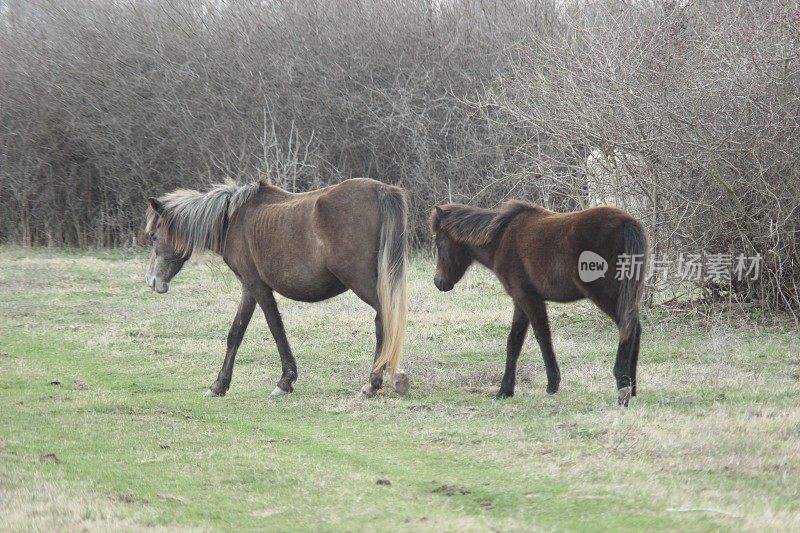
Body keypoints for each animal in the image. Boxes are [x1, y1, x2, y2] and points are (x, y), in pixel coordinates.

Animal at [144, 177, 410, 396]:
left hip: (362, 282)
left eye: (154, 236)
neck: (233, 221)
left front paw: (285, 381)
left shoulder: (258, 286)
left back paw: (374, 382)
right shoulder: (249, 288)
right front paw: (219, 384)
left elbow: (276, 328)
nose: (152, 281)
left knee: (384, 319)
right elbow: (235, 333)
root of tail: (380, 189)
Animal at [428, 200, 648, 404]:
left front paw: (551, 384)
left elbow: (542, 336)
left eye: (439, 243)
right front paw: (505, 390)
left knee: (627, 327)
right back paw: (632, 387)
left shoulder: (528, 298)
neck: (501, 239)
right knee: (634, 327)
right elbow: (514, 342)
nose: (439, 282)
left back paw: (622, 387)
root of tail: (626, 221)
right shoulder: (520, 301)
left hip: (605, 295)